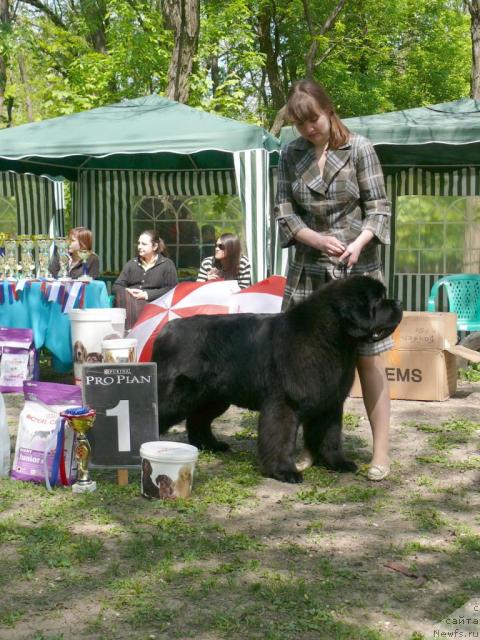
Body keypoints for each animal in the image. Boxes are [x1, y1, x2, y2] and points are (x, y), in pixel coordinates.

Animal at [152, 274, 404, 480]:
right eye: (378, 300)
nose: (399, 302)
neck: (329, 339)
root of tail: (166, 329)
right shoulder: (284, 403)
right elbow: (281, 438)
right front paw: (284, 471)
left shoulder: (330, 403)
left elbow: (331, 436)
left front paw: (337, 463)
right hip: (177, 396)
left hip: (213, 397)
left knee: (198, 420)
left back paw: (211, 445)